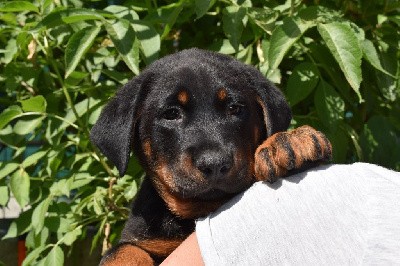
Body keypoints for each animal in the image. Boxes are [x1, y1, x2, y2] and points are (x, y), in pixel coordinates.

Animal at [90, 48, 332, 264]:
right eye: (171, 114)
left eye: (235, 109)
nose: (214, 164)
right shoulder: (142, 237)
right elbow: (121, 252)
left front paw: (289, 141)